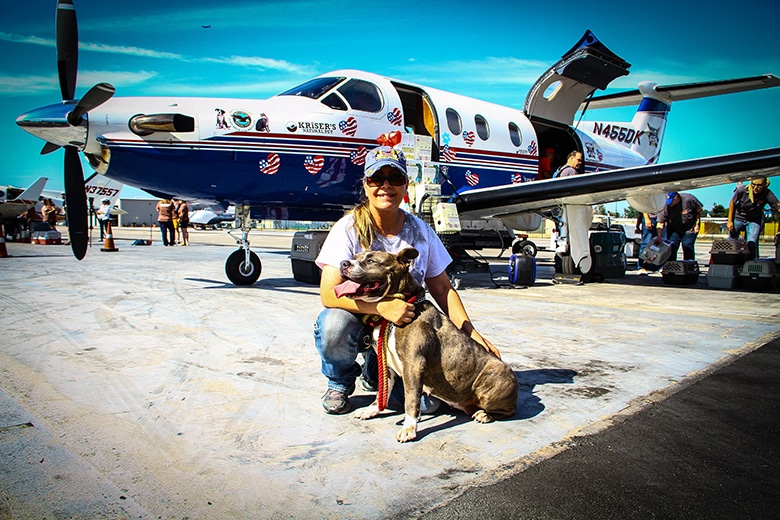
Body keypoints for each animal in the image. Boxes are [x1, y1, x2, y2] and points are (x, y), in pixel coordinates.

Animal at [336, 249, 516, 442]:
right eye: (354, 257)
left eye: (371, 260)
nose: (343, 263)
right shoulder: (387, 365)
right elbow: (382, 391)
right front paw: (372, 410)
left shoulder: (414, 364)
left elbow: (411, 399)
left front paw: (409, 428)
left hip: (493, 382)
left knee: (509, 410)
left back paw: (485, 414)